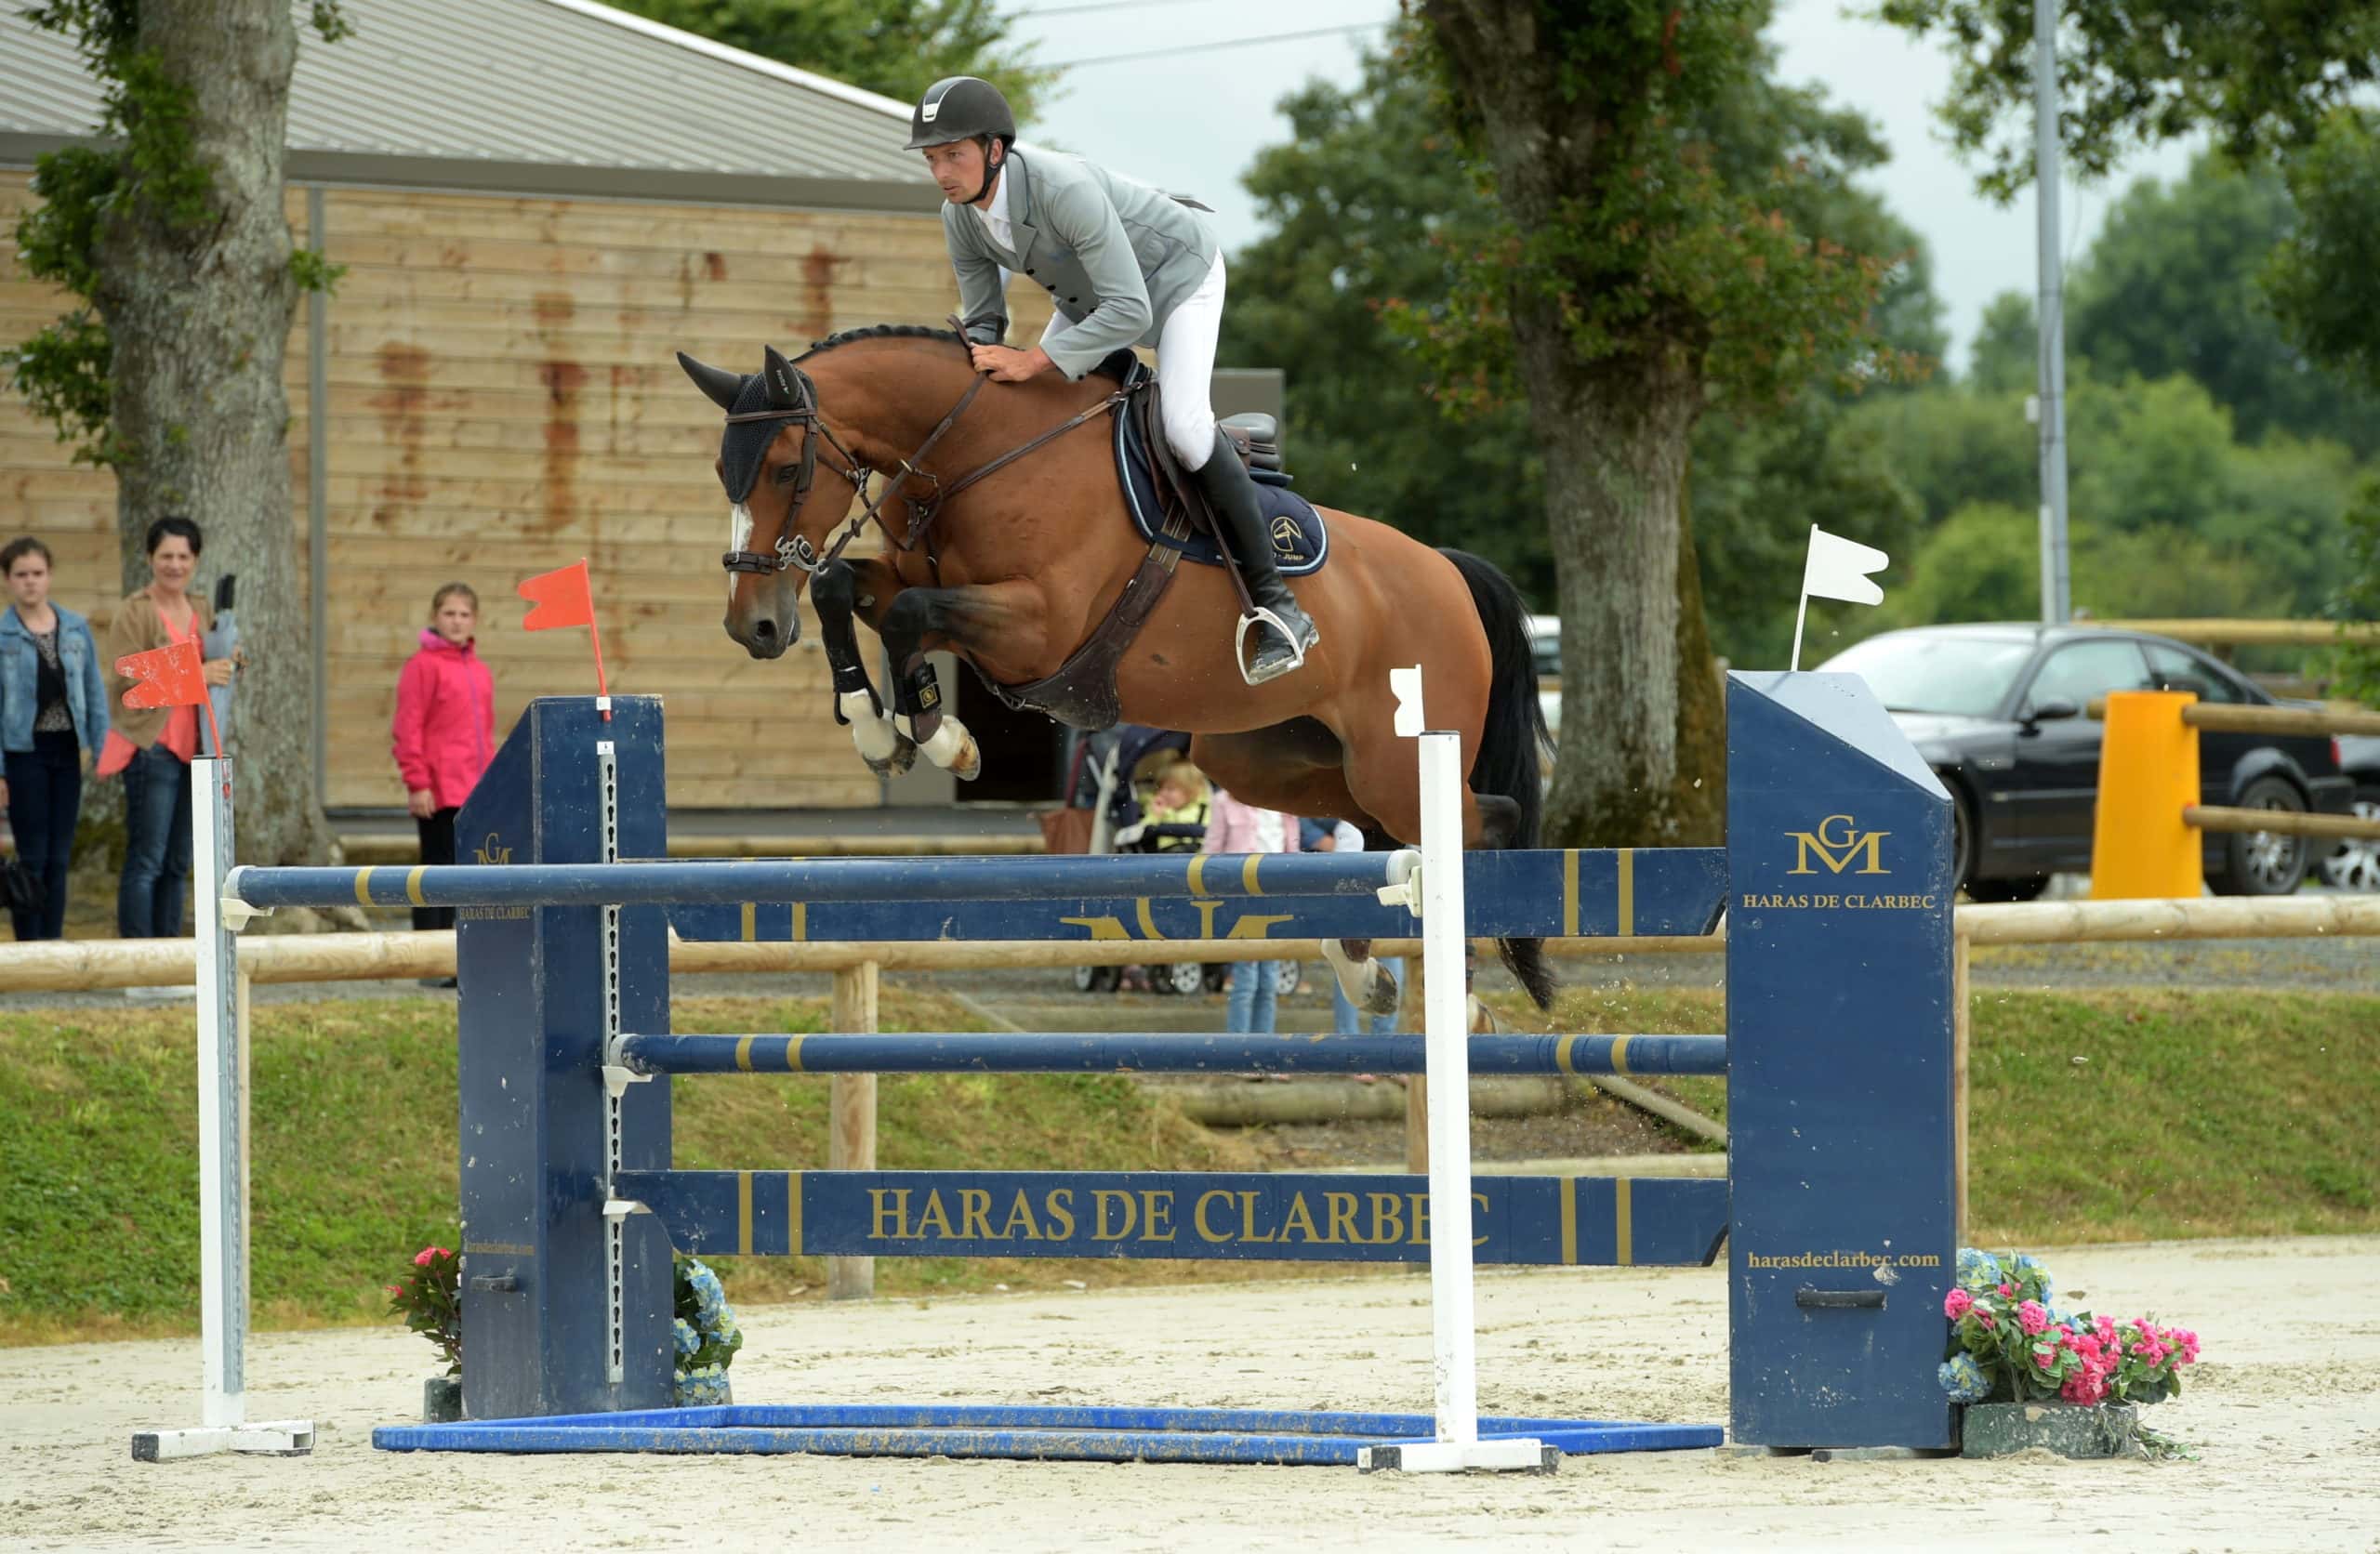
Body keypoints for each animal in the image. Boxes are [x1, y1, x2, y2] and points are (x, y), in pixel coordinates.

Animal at [676, 328, 1561, 1013]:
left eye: (785, 469)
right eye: (723, 474)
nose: (753, 626)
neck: (975, 455)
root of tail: (1447, 570)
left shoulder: (1038, 628)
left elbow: (906, 615)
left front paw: (938, 735)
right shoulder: (909, 580)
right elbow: (840, 587)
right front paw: (877, 729)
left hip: (1394, 756)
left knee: (1482, 821)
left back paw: (1462, 995)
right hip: (1266, 758)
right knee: (1386, 835)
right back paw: (1363, 972)